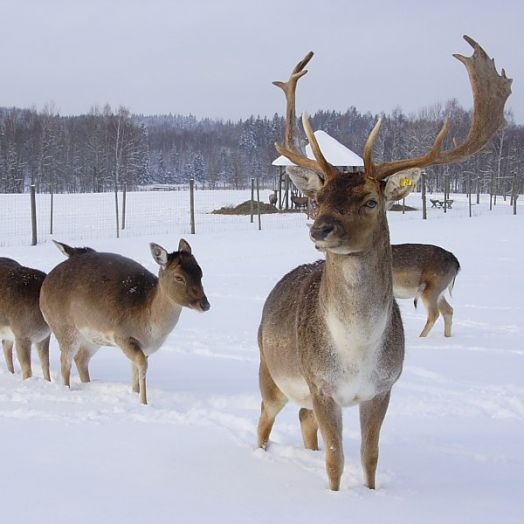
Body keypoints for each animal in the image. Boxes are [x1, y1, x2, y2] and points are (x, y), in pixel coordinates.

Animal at [40, 239, 210, 404]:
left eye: (200, 272)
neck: (152, 330)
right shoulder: (122, 336)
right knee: (65, 362)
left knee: (81, 358)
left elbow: (136, 371)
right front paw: (144, 402)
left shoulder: (146, 348)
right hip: (64, 327)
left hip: (91, 338)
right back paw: (66, 390)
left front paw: (135, 394)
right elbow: (142, 365)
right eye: (178, 277)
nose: (205, 304)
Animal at [258, 37, 512, 492]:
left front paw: (372, 493)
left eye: (371, 201)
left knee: (304, 422)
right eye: (318, 198)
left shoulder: (384, 387)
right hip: (270, 371)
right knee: (264, 421)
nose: (320, 229)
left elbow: (369, 456)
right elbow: (336, 461)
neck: (357, 352)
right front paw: (335, 496)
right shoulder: (321, 384)